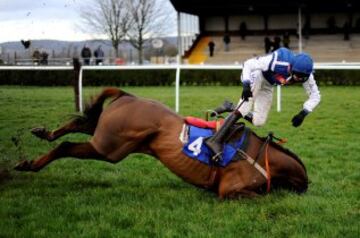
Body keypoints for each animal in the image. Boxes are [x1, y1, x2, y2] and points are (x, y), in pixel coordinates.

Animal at [15, 87, 308, 199]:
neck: (261, 157)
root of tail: (129, 96)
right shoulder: (229, 190)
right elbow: (259, 197)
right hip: (110, 147)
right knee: (67, 146)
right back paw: (30, 164)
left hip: (107, 136)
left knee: (83, 123)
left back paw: (42, 134)